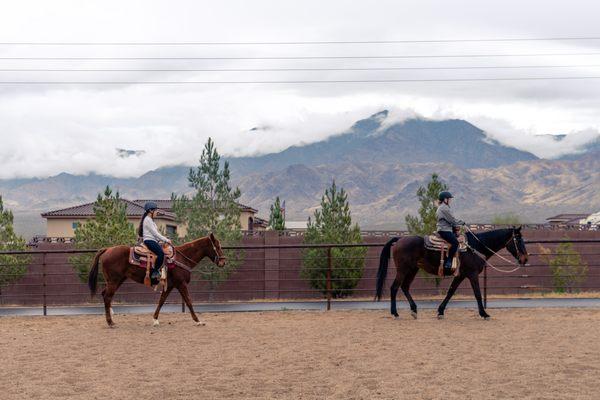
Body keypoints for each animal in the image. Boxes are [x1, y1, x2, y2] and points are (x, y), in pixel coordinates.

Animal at [85, 233, 224, 326]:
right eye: (217, 246)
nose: (223, 262)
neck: (181, 258)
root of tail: (107, 249)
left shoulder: (170, 285)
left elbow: (161, 301)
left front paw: (155, 319)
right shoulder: (181, 284)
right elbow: (189, 301)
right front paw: (198, 320)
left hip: (117, 280)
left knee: (105, 295)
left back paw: (111, 317)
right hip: (114, 281)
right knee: (107, 296)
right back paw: (110, 322)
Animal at [378, 228, 528, 318]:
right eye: (518, 240)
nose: (525, 259)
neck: (475, 247)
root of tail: (399, 239)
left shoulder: (460, 275)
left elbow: (450, 291)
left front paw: (440, 311)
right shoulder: (472, 274)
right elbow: (477, 294)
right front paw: (484, 313)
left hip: (413, 269)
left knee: (405, 287)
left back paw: (414, 310)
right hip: (403, 270)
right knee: (394, 287)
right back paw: (395, 313)